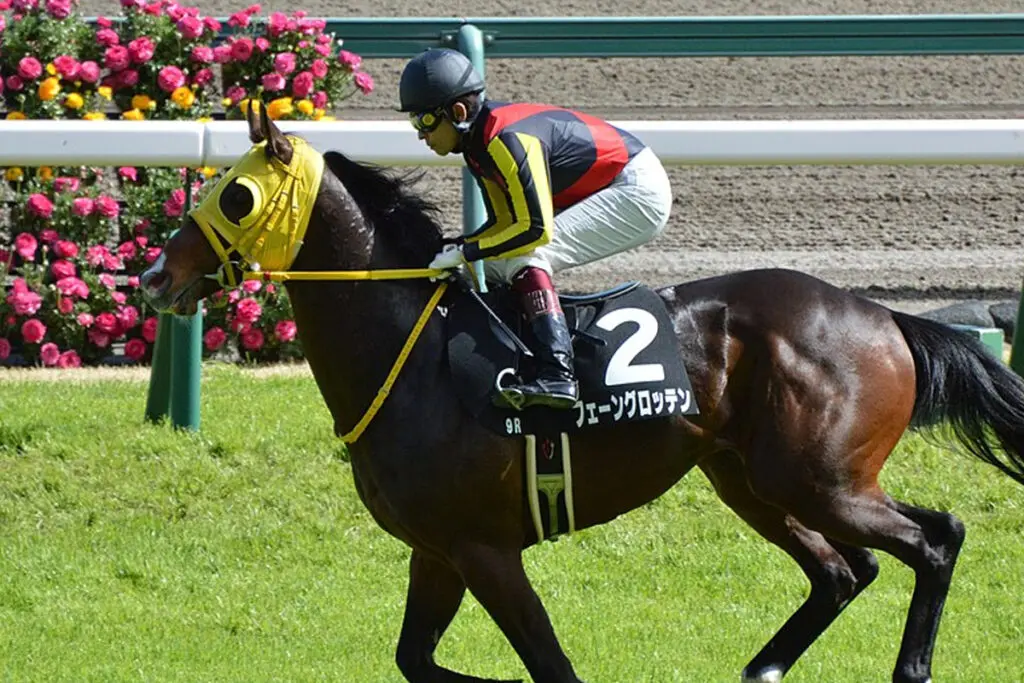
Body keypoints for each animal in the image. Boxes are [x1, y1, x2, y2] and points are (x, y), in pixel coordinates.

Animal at [140, 105, 1024, 683]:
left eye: (235, 195)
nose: (155, 275)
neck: (412, 353)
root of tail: (883, 314)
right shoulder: (436, 548)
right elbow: (416, 659)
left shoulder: (484, 547)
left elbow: (550, 666)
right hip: (752, 480)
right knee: (844, 571)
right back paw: (762, 668)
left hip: (821, 479)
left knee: (936, 538)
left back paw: (910, 668)